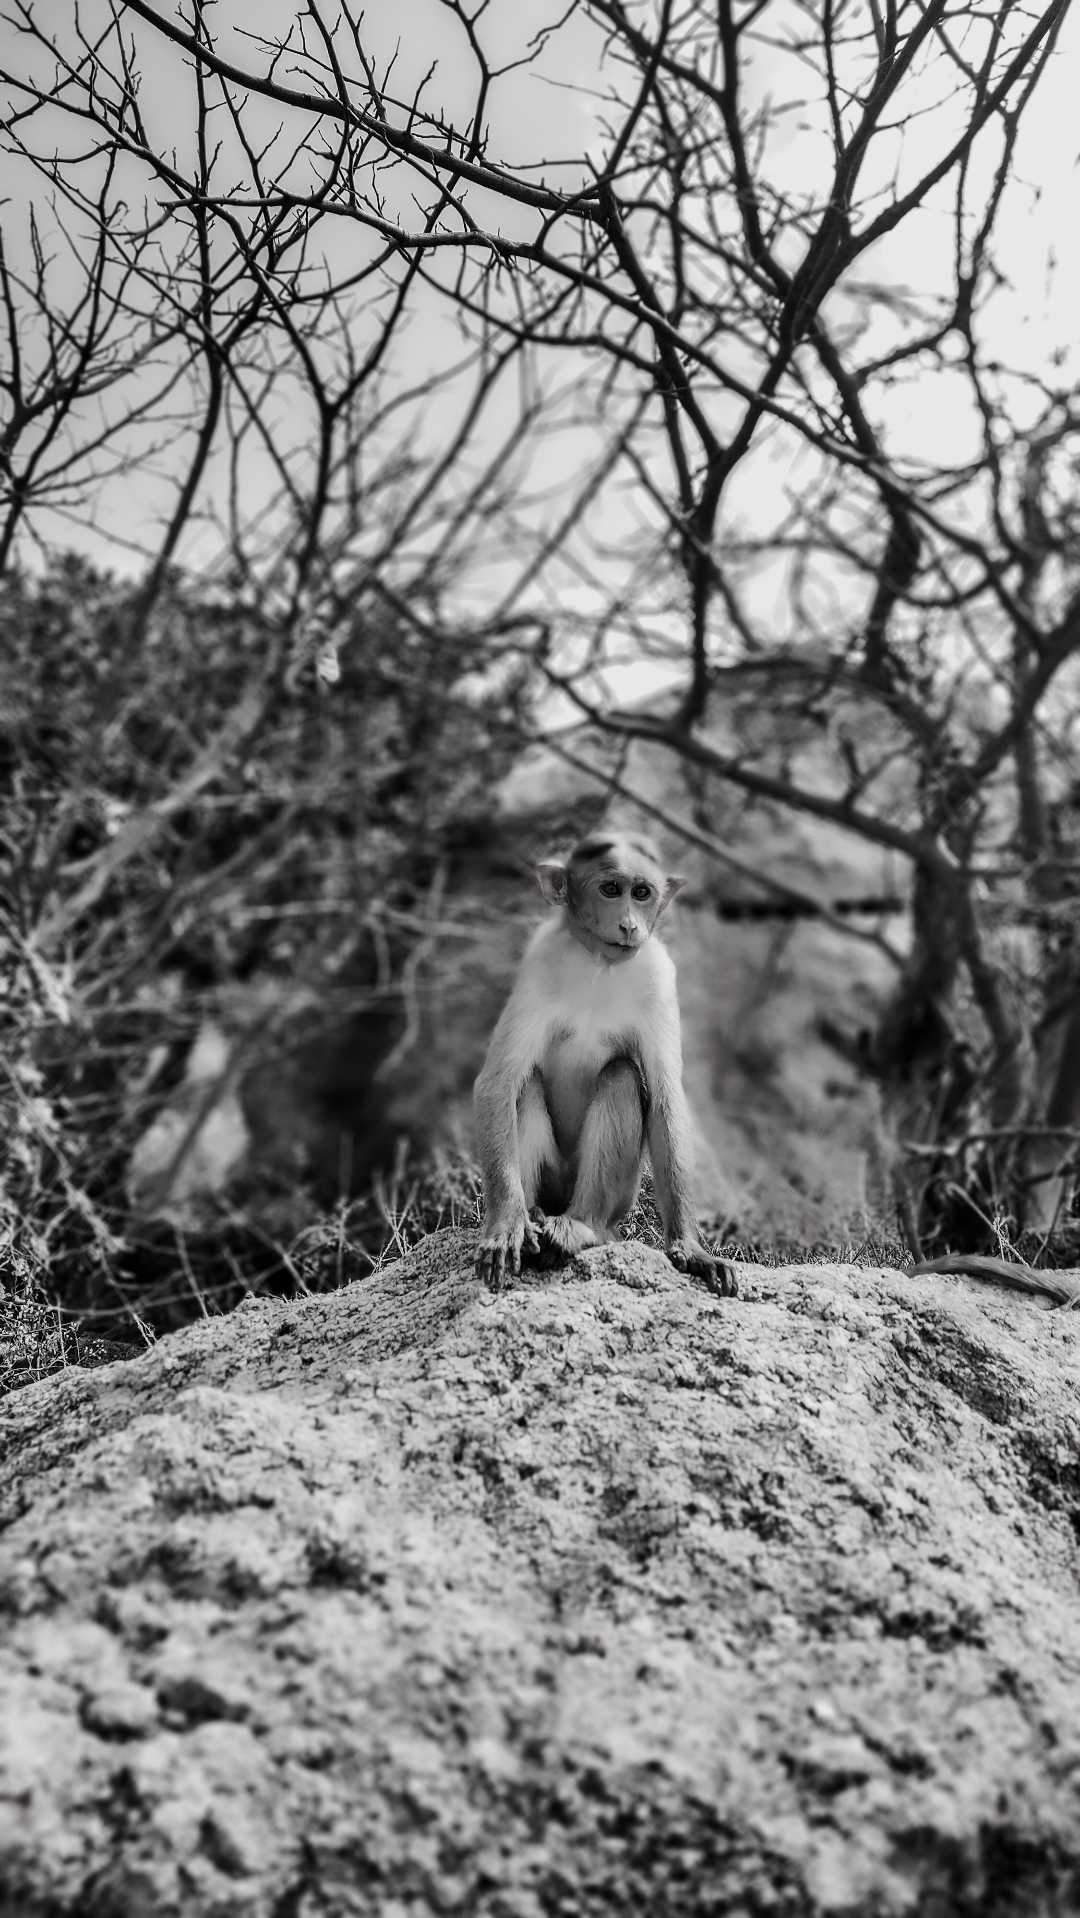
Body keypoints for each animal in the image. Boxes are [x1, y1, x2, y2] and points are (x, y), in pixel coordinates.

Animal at [473, 832, 736, 1296]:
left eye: (642, 892)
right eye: (611, 889)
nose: (630, 925)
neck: (601, 964)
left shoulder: (659, 977)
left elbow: (666, 1097)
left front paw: (691, 1249)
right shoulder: (539, 962)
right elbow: (498, 1083)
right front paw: (506, 1226)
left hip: (620, 1197)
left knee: (621, 1075)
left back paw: (580, 1229)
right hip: (553, 1179)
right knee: (526, 1085)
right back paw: (533, 1219)